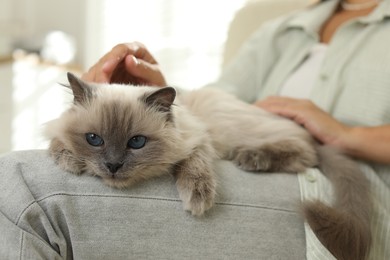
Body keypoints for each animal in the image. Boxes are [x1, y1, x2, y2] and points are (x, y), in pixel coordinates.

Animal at [45, 73, 372, 260]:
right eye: (94, 139)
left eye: (136, 142)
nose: (113, 165)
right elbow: (55, 141)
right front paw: (69, 159)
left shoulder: (200, 140)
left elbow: (195, 168)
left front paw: (198, 199)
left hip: (237, 128)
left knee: (306, 153)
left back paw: (250, 157)